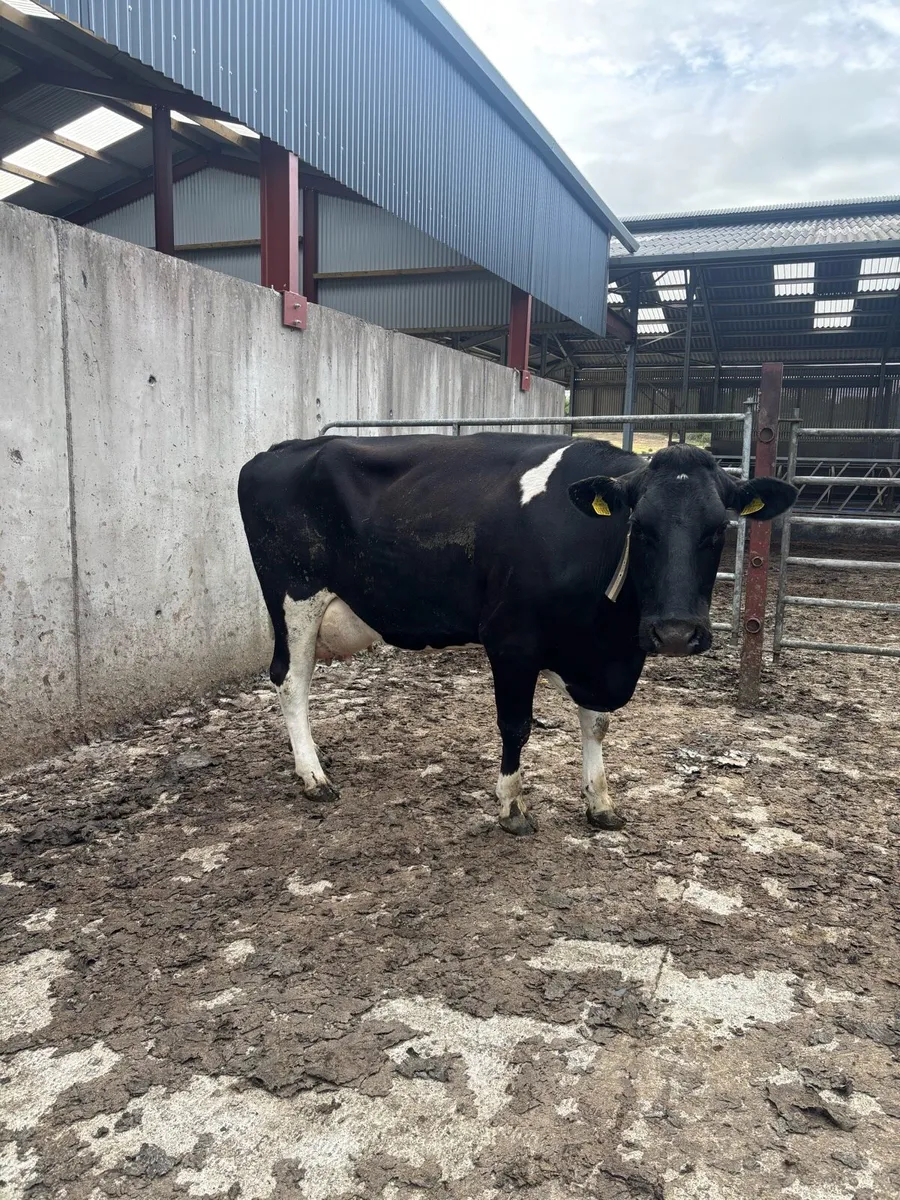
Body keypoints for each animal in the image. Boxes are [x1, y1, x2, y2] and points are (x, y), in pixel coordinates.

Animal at [238, 434, 796, 835]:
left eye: (718, 529)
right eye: (641, 526)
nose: (676, 633)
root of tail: (278, 450)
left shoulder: (594, 654)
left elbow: (596, 725)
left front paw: (600, 802)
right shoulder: (510, 641)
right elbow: (516, 726)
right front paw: (511, 807)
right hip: (294, 597)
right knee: (290, 680)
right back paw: (313, 776)